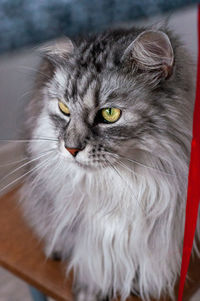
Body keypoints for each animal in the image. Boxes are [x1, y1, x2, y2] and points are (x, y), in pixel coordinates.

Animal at [19, 26, 195, 300]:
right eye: (64, 108)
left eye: (109, 114)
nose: (71, 148)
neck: (122, 184)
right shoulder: (89, 235)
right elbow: (94, 265)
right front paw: (91, 291)